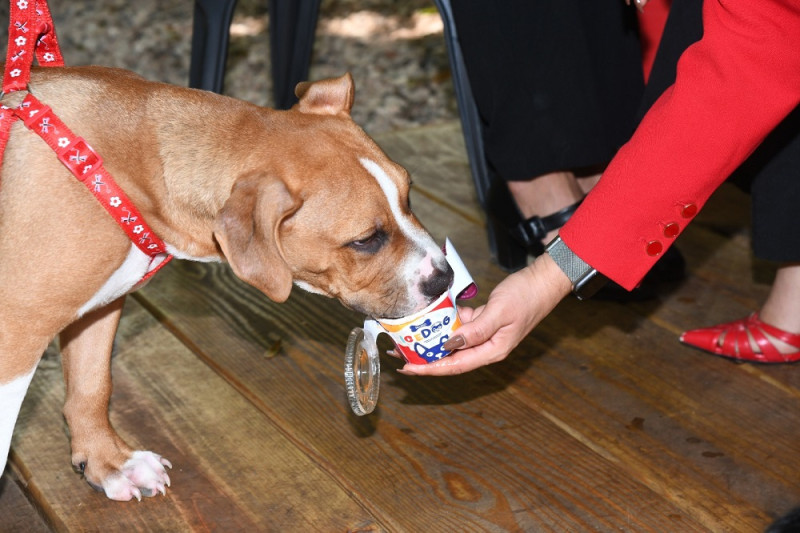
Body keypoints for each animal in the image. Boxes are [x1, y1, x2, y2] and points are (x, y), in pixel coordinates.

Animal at [0, 66, 454, 498]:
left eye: (408, 197)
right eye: (365, 240)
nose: (445, 277)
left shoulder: (100, 307)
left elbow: (92, 387)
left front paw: (110, 463)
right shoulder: (17, 335)